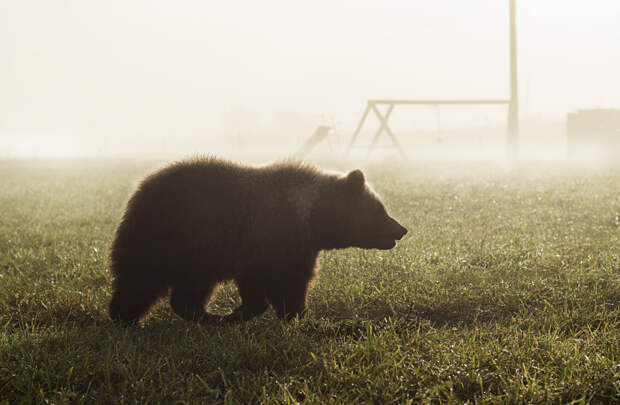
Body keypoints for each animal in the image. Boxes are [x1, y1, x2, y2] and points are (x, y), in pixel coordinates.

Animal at [108, 156, 406, 324]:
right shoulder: (278, 239)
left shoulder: (262, 251)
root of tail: (141, 189)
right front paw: (296, 314)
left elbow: (259, 287)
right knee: (141, 280)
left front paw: (245, 311)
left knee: (178, 289)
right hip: (176, 238)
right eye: (379, 210)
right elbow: (289, 283)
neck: (313, 217)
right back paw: (128, 318)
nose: (400, 229)